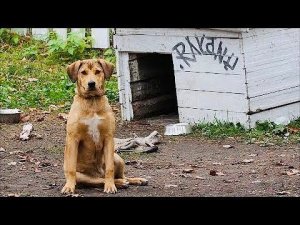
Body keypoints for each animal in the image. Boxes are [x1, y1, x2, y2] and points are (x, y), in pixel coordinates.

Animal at [61, 58, 148, 193]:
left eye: (98, 71)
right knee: (98, 180)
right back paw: (121, 183)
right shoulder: (73, 138)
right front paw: (69, 187)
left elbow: (109, 168)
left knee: (118, 175)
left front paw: (110, 186)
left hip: (117, 158)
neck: (92, 103)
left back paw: (135, 180)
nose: (91, 84)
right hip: (83, 176)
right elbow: (71, 168)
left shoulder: (108, 138)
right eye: (83, 72)